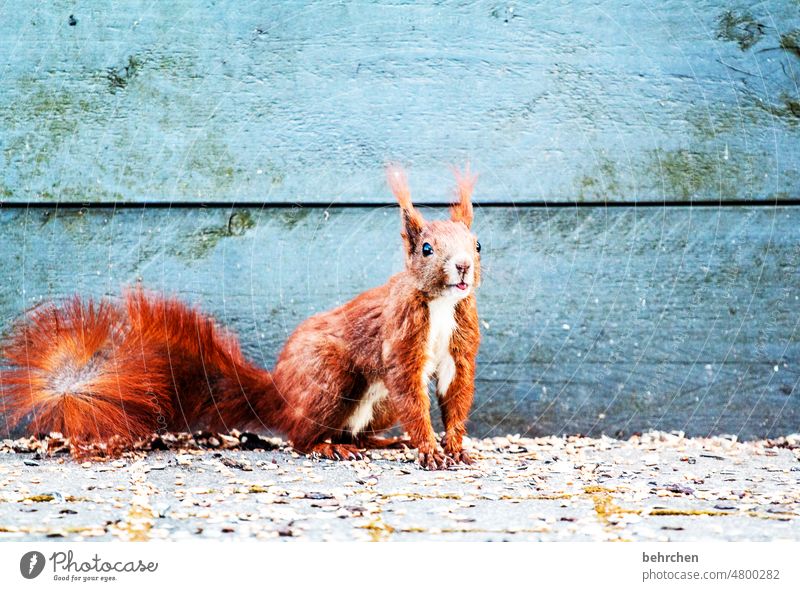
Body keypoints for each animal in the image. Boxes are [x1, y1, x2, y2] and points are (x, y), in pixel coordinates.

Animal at [0, 166, 482, 472]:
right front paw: (431, 449)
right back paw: (329, 448)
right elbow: (411, 388)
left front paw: (455, 445)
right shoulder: (401, 336)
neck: (441, 306)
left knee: (355, 432)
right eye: (426, 249)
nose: (462, 267)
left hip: (377, 406)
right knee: (302, 438)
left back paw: (381, 440)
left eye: (477, 244)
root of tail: (282, 393)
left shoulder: (460, 341)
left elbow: (455, 389)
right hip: (330, 378)